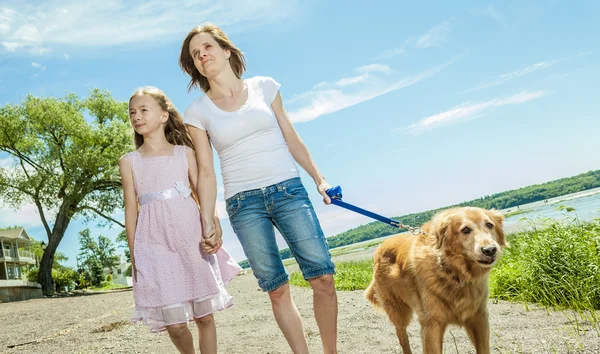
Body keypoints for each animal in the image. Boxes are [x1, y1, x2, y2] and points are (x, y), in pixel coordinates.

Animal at [366, 206, 506, 352]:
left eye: (489, 225)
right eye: (465, 230)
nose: (490, 250)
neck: (455, 274)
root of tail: (380, 247)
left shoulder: (479, 318)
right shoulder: (431, 325)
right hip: (398, 313)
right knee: (402, 337)